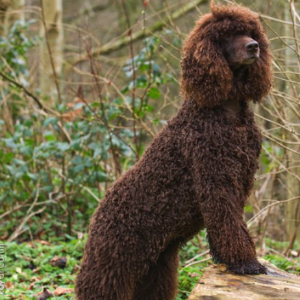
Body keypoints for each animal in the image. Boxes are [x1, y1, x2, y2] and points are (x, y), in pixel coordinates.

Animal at [75, 2, 272, 300]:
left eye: (251, 32)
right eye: (225, 35)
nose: (253, 47)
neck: (227, 111)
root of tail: (99, 210)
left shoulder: (239, 181)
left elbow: (231, 225)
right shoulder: (215, 180)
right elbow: (229, 224)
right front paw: (246, 263)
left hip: (158, 264)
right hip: (112, 261)